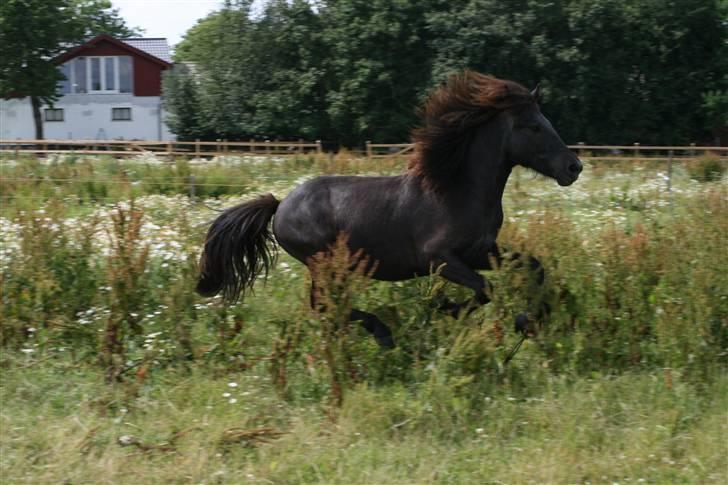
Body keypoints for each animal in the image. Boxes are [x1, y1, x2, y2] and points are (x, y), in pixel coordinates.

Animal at [195, 69, 580, 348]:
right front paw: (450, 308)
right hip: (324, 264)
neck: (457, 191)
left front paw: (532, 320)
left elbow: (533, 267)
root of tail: (280, 204)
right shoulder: (439, 258)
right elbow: (485, 289)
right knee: (323, 305)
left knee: (325, 307)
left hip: (332, 268)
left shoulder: (481, 251)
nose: (573, 167)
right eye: (534, 126)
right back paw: (381, 334)